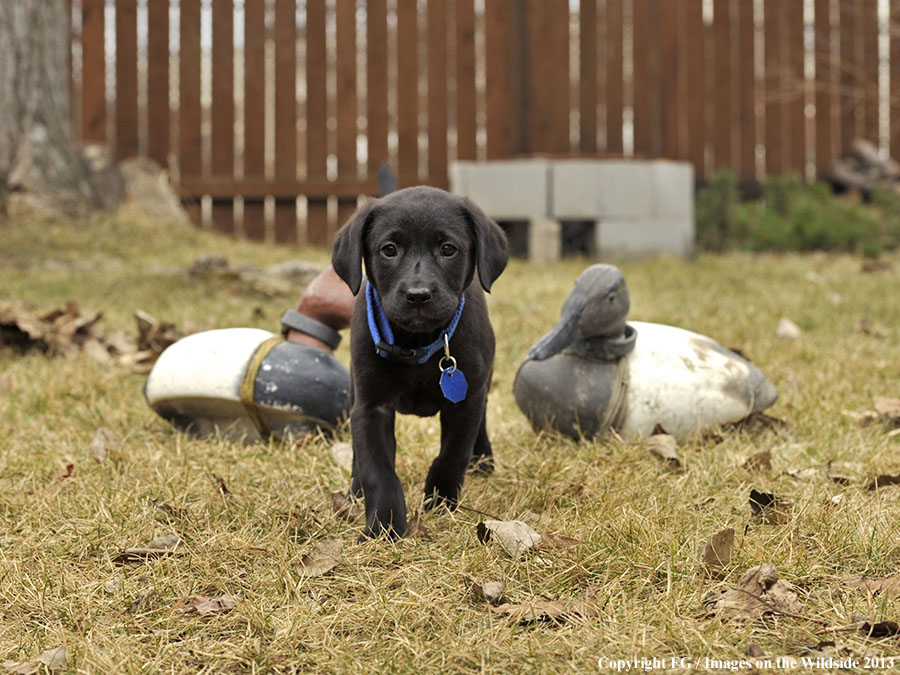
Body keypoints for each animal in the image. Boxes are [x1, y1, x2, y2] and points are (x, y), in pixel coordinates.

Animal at [334, 186, 510, 540]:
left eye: (448, 249)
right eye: (389, 249)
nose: (418, 294)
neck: (416, 343)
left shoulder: (465, 401)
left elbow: (452, 455)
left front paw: (440, 502)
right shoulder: (371, 406)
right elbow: (378, 469)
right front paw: (384, 525)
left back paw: (483, 461)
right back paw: (355, 491)